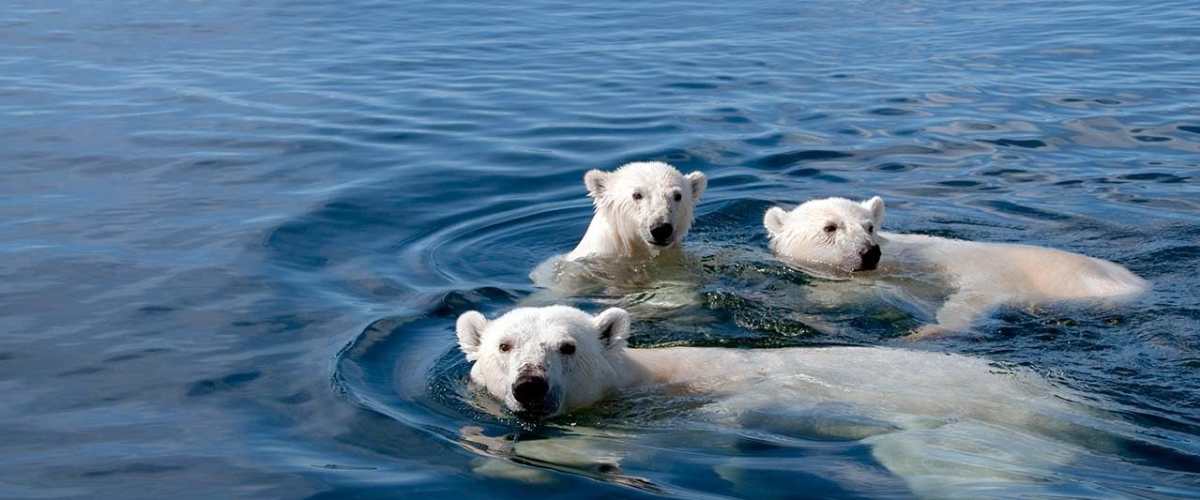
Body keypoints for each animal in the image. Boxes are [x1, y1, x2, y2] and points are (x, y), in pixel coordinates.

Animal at [454, 305, 1098, 497]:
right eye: (505, 346)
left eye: (566, 347)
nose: (530, 386)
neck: (647, 380)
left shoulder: (692, 409)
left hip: (985, 427)